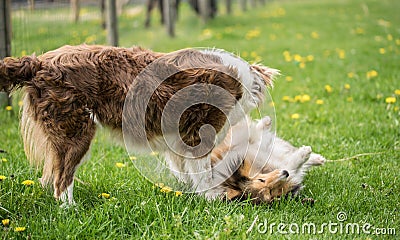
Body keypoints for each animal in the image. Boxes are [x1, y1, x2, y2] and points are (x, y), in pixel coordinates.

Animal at [0, 43, 278, 204]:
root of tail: (39, 63)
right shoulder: (199, 134)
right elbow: (203, 171)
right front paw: (212, 199)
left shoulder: (179, 139)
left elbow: (186, 170)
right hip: (75, 132)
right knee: (61, 181)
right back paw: (71, 210)